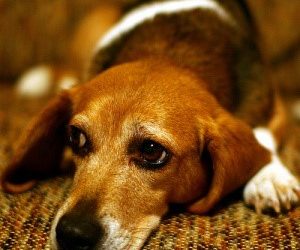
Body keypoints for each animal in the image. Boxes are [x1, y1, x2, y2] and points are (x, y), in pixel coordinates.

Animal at [0, 0, 300, 250]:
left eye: (152, 151)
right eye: (76, 137)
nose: (72, 234)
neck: (169, 53)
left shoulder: (274, 106)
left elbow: (261, 136)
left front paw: (270, 179)